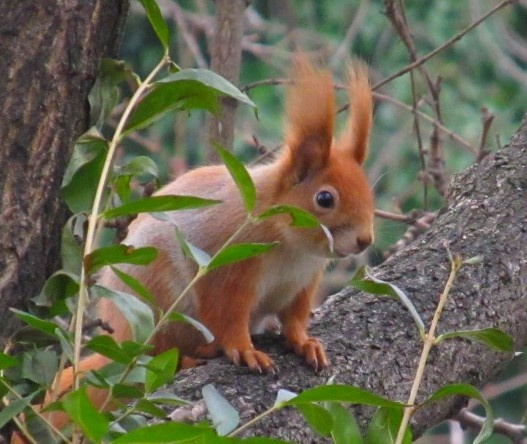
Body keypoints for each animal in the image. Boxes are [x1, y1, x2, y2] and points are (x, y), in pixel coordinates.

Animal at [12, 53, 376, 438]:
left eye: (367, 188)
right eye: (325, 198)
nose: (365, 239)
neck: (293, 246)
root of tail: (121, 336)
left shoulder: (303, 282)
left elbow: (295, 317)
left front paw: (304, 342)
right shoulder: (229, 266)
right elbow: (228, 315)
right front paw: (245, 350)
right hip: (156, 304)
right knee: (152, 358)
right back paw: (190, 356)